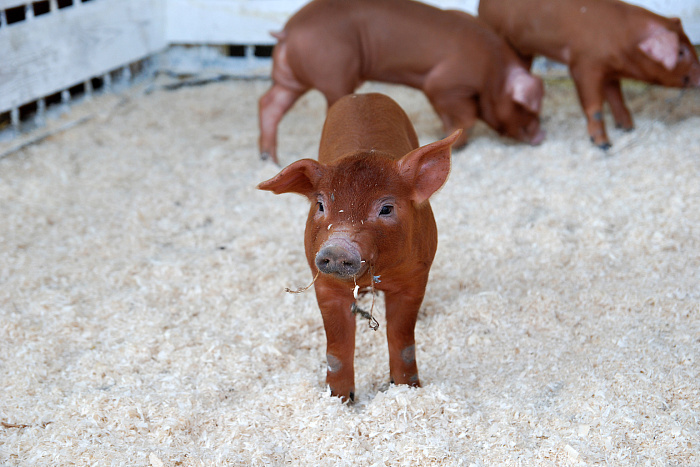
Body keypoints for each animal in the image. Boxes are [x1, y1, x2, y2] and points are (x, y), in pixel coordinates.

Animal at [258, 0, 548, 165]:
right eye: (527, 106)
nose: (542, 136)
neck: (493, 71)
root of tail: (287, 32)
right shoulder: (445, 85)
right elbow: (465, 117)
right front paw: (455, 142)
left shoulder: (438, 94)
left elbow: (448, 118)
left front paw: (444, 136)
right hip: (334, 73)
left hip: (289, 79)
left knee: (269, 103)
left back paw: (269, 159)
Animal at [258, 92, 460, 402]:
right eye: (320, 205)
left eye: (386, 208)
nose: (336, 250)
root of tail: (364, 94)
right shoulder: (325, 284)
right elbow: (337, 347)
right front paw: (340, 399)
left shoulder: (415, 278)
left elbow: (403, 339)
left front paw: (408, 388)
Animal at [478, 0, 700, 150]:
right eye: (680, 52)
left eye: (690, 43)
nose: (699, 76)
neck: (622, 39)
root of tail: (482, 5)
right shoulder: (584, 66)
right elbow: (594, 107)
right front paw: (604, 145)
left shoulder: (609, 72)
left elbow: (616, 99)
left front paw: (628, 128)